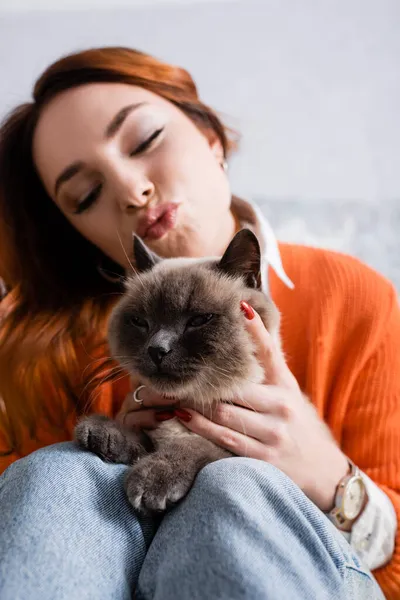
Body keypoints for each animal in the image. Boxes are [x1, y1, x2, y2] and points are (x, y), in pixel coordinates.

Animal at [76, 227, 282, 512]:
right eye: (140, 322)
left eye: (199, 320)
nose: (157, 350)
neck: (180, 407)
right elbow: (139, 436)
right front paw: (102, 432)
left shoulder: (238, 446)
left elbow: (196, 445)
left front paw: (152, 479)